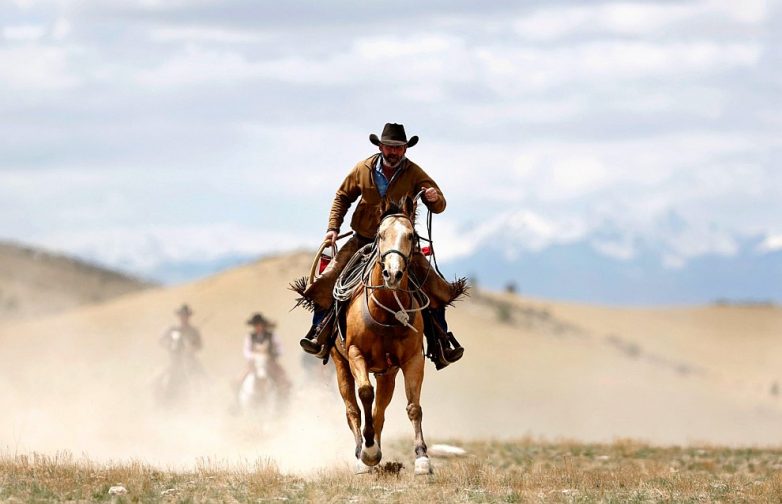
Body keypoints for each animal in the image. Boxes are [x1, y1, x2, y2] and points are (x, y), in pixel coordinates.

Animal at [330, 198, 434, 476]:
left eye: (411, 235)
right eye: (380, 235)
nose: (393, 274)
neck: (387, 311)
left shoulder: (412, 359)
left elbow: (413, 406)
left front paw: (422, 458)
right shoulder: (355, 354)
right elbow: (365, 393)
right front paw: (367, 452)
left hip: (387, 373)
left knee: (380, 410)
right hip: (340, 363)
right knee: (353, 409)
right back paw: (362, 455)